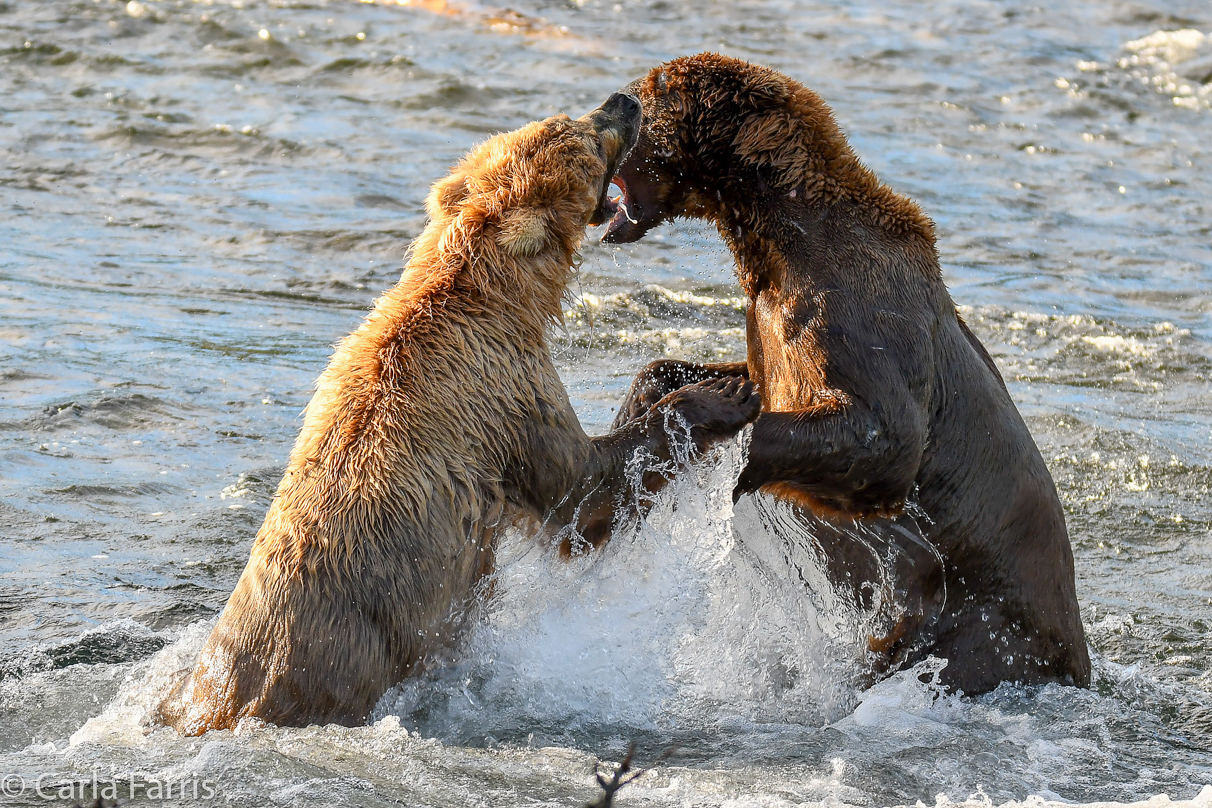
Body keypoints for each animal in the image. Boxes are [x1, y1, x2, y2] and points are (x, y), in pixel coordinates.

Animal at [153, 91, 756, 736]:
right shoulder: (501, 394)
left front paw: (700, 371)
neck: (499, 296)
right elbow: (583, 497)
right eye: (588, 140)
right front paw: (725, 397)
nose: (623, 101)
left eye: (566, 116)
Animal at [601, 55, 1095, 697]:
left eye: (649, 89)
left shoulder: (855, 314)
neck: (776, 235)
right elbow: (708, 372)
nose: (613, 101)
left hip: (990, 633)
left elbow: (881, 433)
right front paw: (667, 408)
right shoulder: (769, 322)